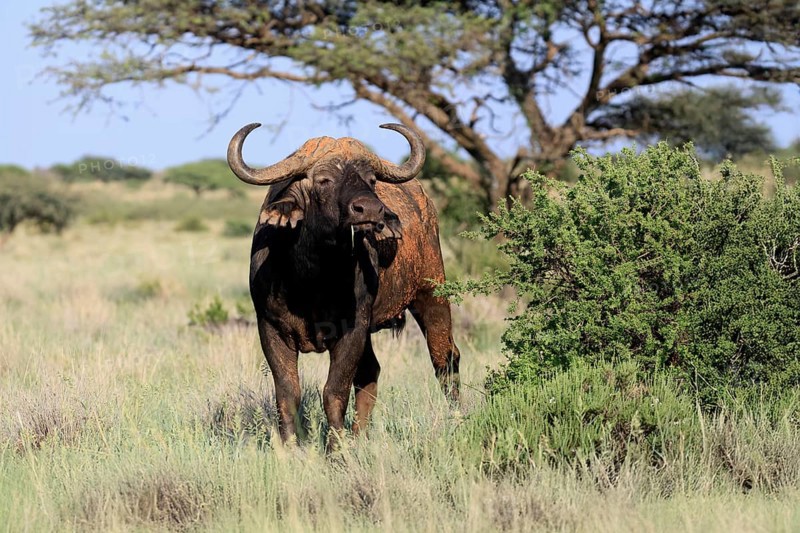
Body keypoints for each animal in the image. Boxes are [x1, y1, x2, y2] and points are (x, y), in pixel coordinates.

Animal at [227, 123, 460, 447]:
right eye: (324, 180)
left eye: (371, 179)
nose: (370, 210)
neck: (312, 280)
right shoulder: (270, 328)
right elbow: (287, 392)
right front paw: (290, 446)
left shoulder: (353, 329)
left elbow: (334, 392)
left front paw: (336, 448)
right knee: (371, 371)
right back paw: (360, 434)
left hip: (432, 291)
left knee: (445, 359)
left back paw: (459, 418)